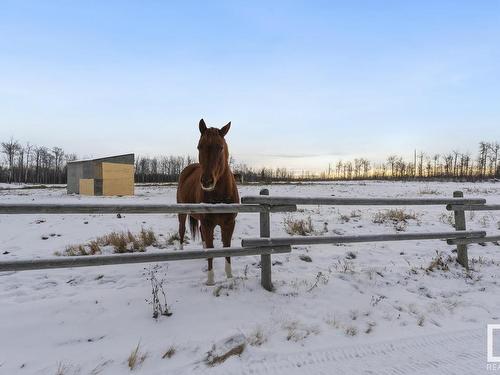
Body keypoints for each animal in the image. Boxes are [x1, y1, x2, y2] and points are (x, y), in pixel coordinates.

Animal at [177, 119, 239, 286]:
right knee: (181, 230)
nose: (206, 181)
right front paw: (210, 280)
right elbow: (212, 249)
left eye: (221, 147)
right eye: (199, 146)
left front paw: (229, 277)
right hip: (182, 212)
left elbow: (227, 248)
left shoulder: (229, 223)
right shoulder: (208, 224)